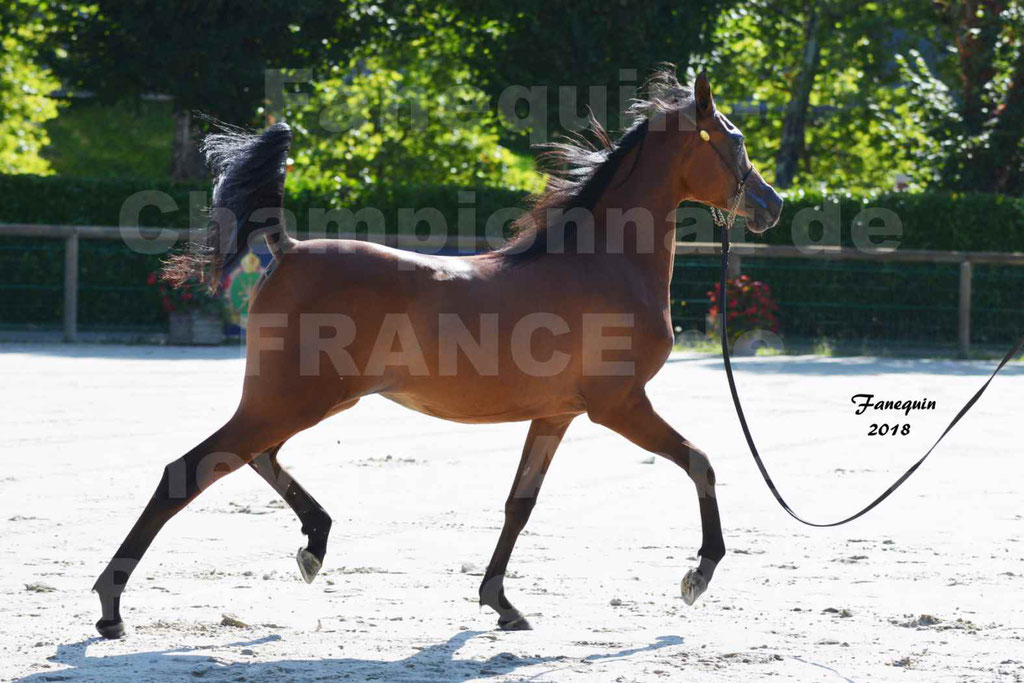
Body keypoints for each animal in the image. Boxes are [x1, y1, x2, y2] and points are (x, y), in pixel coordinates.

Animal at [94, 66, 782, 638]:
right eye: (735, 140)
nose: (771, 205)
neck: (600, 262)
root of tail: (285, 249)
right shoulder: (619, 405)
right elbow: (701, 463)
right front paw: (698, 575)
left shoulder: (555, 413)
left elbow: (519, 504)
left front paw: (501, 603)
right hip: (294, 399)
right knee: (193, 469)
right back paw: (111, 608)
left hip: (303, 400)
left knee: (254, 456)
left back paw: (314, 544)